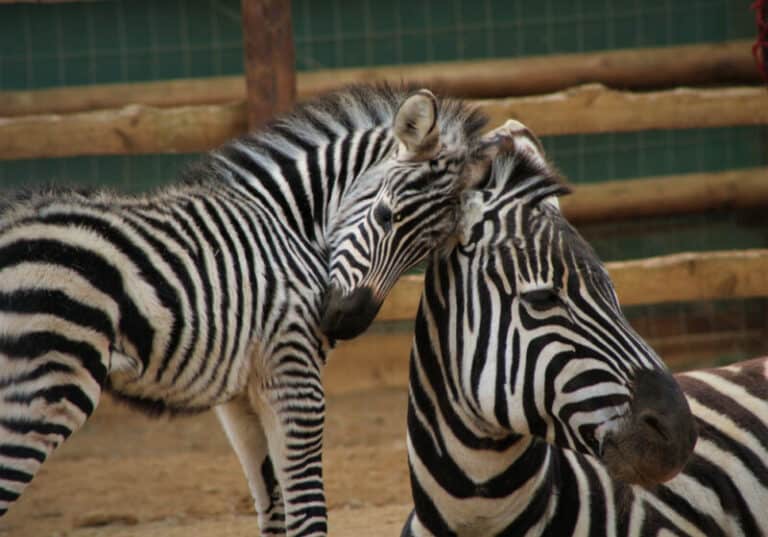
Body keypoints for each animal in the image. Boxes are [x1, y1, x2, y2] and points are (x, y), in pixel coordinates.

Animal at [0, 85, 512, 537]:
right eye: (386, 216)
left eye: (426, 251)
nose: (346, 320)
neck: (291, 223)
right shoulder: (293, 374)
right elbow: (308, 515)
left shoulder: (241, 394)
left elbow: (274, 510)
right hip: (41, 392)